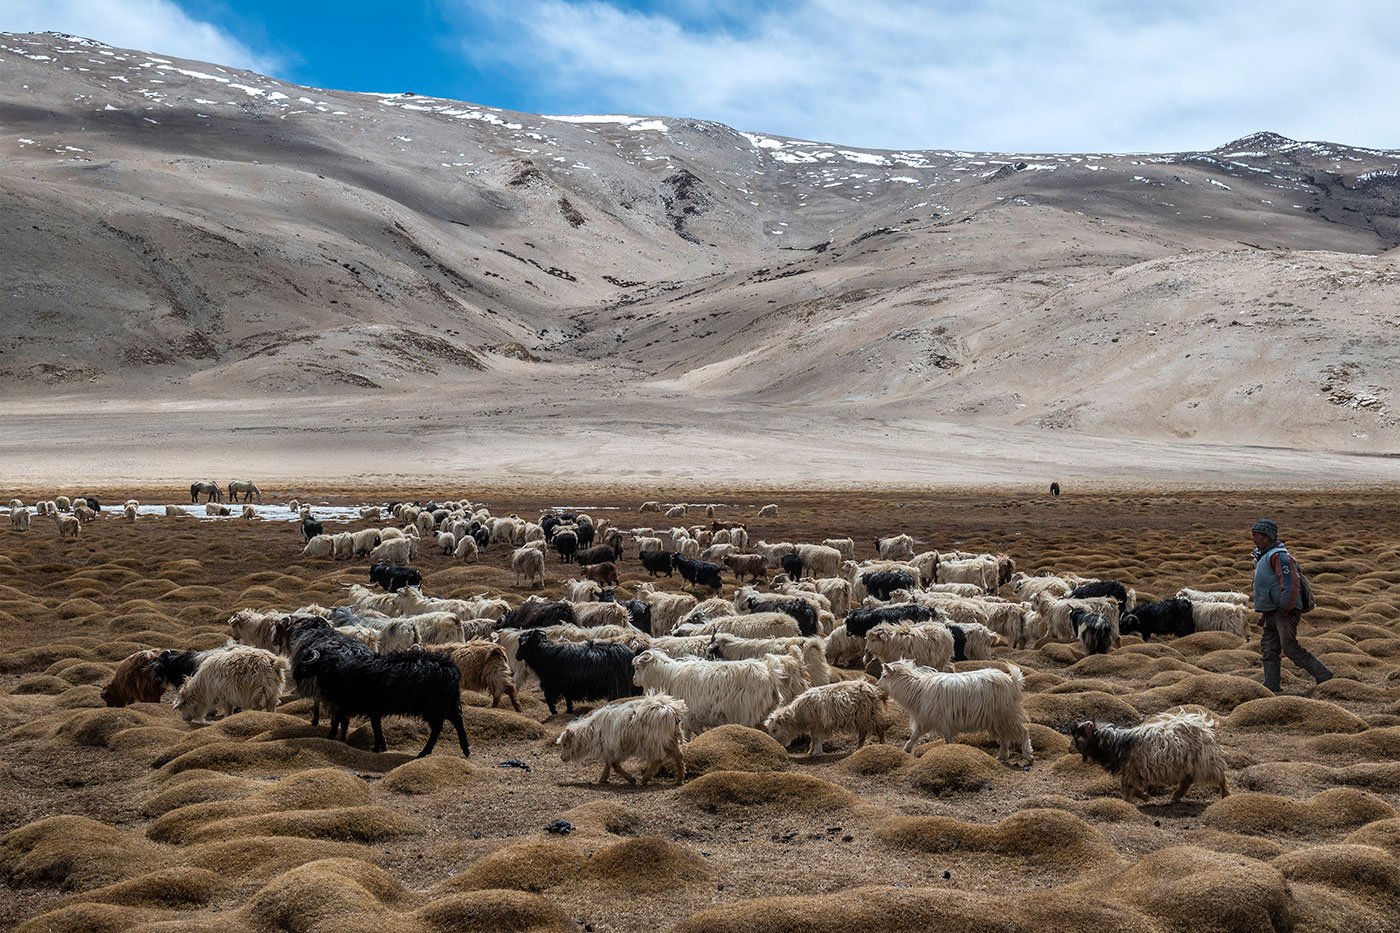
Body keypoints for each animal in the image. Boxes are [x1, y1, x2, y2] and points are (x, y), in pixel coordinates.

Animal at [557, 689, 688, 784]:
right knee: (678, 755)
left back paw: (645, 778)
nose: (562, 758)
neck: (591, 732)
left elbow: (614, 765)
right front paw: (603, 779)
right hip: (670, 738)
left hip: (654, 741)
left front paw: (630, 779)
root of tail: (671, 710)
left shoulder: (613, 748)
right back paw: (680, 779)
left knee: (658, 759)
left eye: (565, 744)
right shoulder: (609, 749)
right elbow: (609, 764)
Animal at [879, 658, 1036, 762]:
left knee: (1023, 731)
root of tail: (1012, 681)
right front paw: (906, 749)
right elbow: (914, 735)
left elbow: (948, 741)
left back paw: (1028, 755)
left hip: (1006, 715)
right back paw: (1001, 756)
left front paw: (950, 752)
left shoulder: (944, 722)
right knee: (1004, 738)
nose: (877, 684)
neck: (915, 689)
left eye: (884, 675)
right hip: (996, 720)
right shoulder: (925, 720)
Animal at [1069, 706, 1226, 801]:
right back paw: (1176, 796)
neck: (1114, 744)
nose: (1069, 748)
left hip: (1205, 760)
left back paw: (1226, 794)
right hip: (1189, 763)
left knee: (1220, 776)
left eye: (1078, 736)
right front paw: (1145, 797)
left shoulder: (1129, 772)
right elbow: (1133, 789)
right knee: (1188, 779)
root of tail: (1203, 725)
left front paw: (1129, 802)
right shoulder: (1131, 773)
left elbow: (1128, 790)